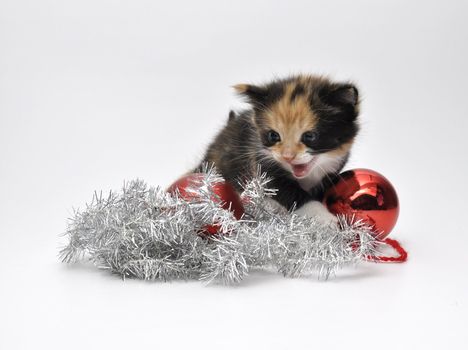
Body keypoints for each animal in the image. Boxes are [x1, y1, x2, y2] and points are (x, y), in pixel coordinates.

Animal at [194, 75, 358, 226]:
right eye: (273, 135)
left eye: (309, 136)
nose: (287, 156)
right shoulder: (260, 162)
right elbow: (289, 192)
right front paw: (324, 217)